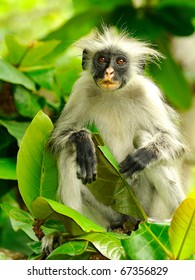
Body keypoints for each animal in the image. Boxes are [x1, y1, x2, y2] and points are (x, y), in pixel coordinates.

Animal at [48, 26, 187, 232]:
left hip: (146, 206)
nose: (108, 72)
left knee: (143, 136)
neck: (114, 94)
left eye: (120, 61)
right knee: (69, 152)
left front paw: (144, 156)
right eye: (101, 59)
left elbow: (175, 144)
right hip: (106, 212)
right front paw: (83, 141)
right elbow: (59, 137)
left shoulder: (146, 93)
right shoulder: (82, 91)